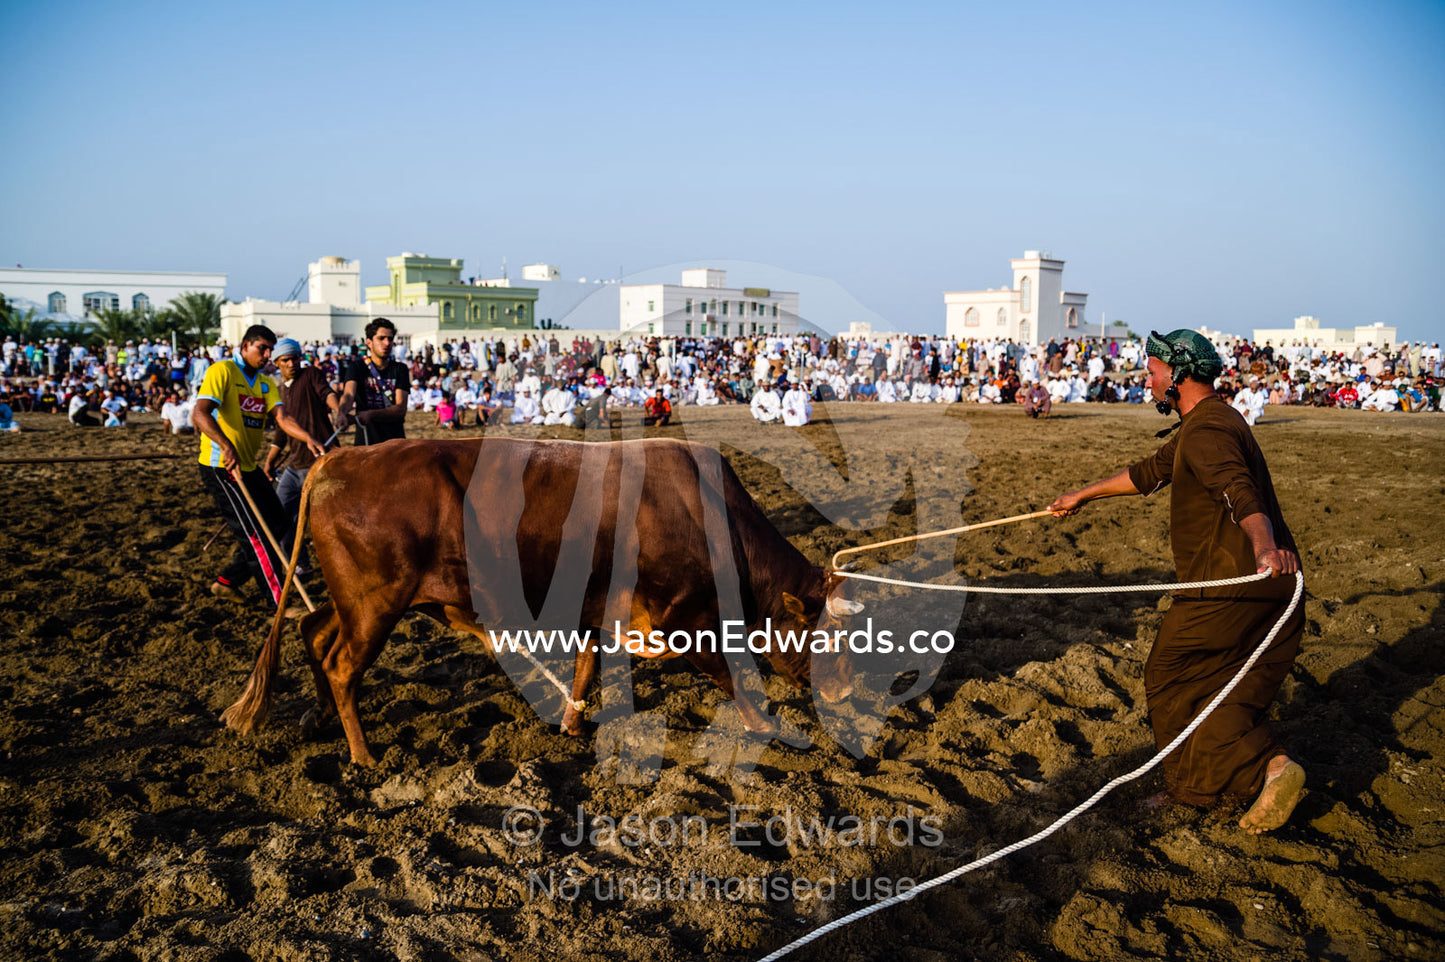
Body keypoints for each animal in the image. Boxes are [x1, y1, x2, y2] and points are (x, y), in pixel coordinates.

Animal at [221, 437, 862, 766]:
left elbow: (584, 670)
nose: (843, 693)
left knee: (312, 630)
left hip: (357, 601)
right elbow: (733, 681)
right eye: (827, 635)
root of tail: (335, 460)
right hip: (376, 603)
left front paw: (572, 725)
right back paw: (363, 756)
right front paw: (767, 728)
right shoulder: (685, 620)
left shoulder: (602, 614)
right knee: (340, 664)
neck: (701, 509)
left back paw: (323, 717)